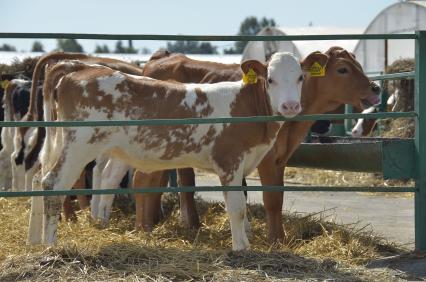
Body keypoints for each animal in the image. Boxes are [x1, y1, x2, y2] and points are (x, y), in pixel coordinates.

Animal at [30, 51, 302, 250]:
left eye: (300, 78)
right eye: (270, 79)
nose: (290, 106)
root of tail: (77, 70)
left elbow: (242, 205)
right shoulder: (229, 161)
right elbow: (236, 207)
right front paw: (241, 248)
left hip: (67, 143)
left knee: (43, 177)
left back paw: (38, 239)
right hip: (80, 144)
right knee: (53, 184)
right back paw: (51, 245)